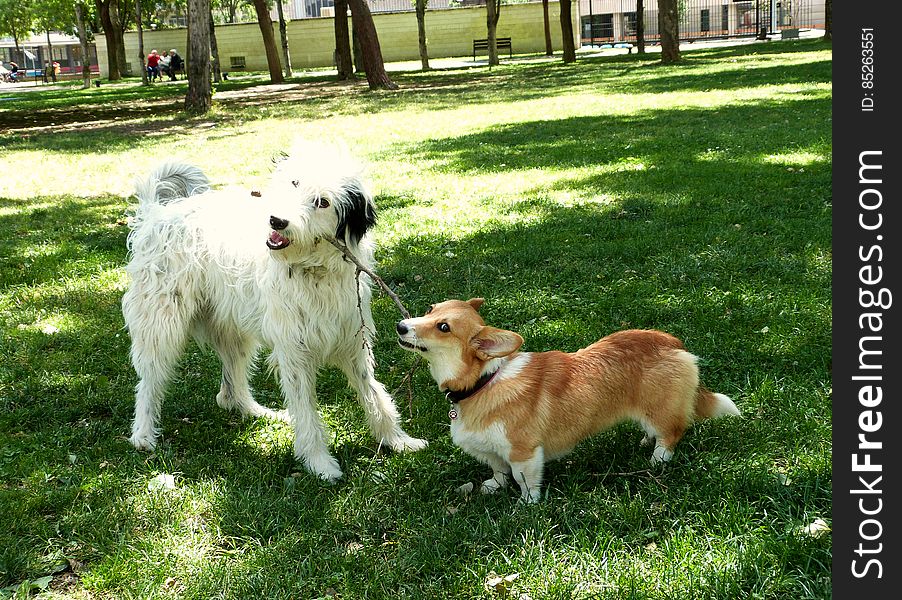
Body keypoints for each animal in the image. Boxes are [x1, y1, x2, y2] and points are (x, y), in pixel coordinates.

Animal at [122, 143, 428, 480]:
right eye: (294, 183)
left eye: (322, 202)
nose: (276, 221)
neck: (313, 270)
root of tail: (157, 212)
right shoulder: (294, 351)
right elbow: (306, 410)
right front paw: (319, 462)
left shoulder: (352, 342)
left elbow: (373, 393)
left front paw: (397, 440)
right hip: (160, 324)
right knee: (149, 381)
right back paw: (143, 434)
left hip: (233, 328)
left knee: (230, 388)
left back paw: (255, 410)